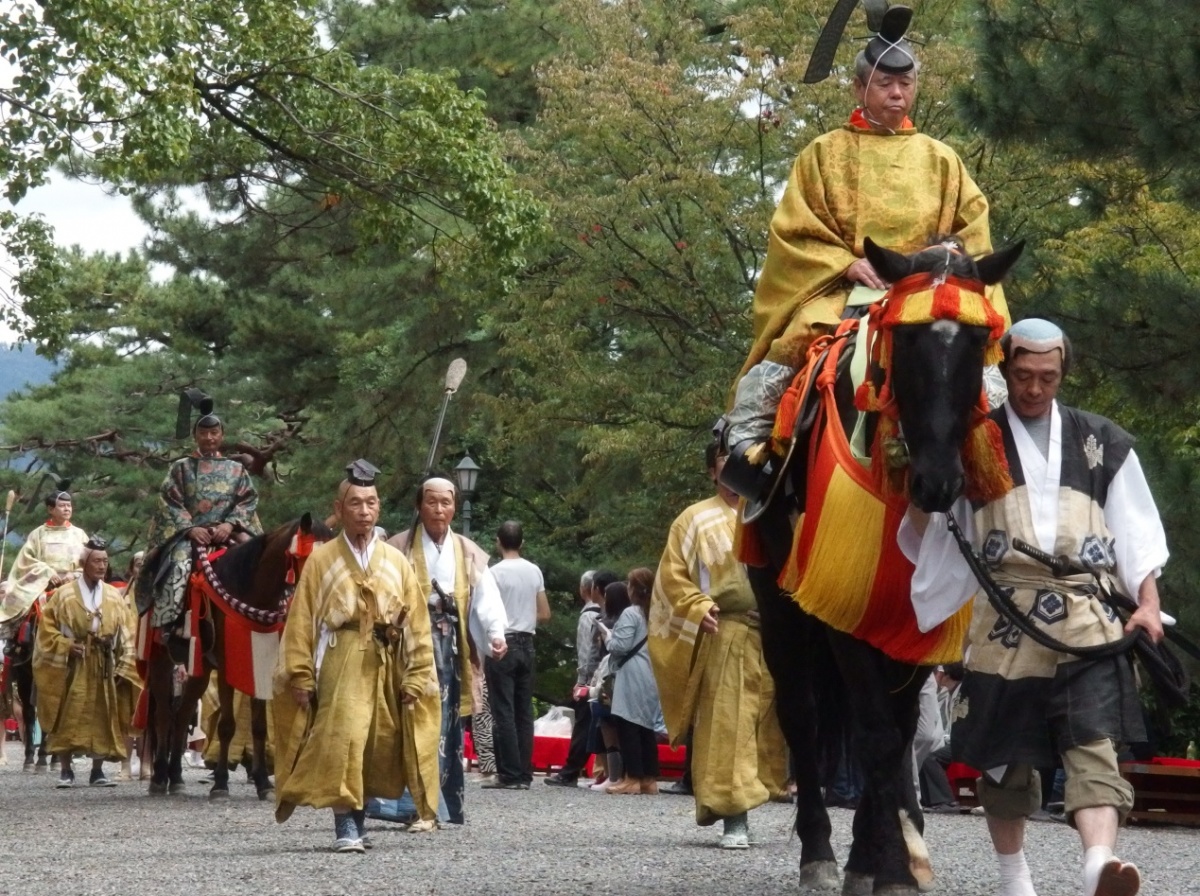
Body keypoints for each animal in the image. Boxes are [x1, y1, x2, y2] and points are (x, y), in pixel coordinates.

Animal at [145, 515, 333, 801]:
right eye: (305, 558)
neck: (252, 589)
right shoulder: (226, 667)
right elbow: (226, 726)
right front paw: (221, 784)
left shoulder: (261, 663)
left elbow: (259, 726)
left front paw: (263, 783)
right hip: (160, 657)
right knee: (164, 715)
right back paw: (158, 777)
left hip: (199, 665)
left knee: (183, 712)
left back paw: (175, 776)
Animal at [748, 235, 1022, 892]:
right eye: (907, 340)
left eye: (978, 342)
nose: (940, 481)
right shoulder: (841, 600)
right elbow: (873, 735)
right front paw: (885, 865)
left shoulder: (919, 615)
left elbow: (896, 733)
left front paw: (878, 860)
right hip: (776, 594)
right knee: (802, 716)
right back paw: (819, 852)